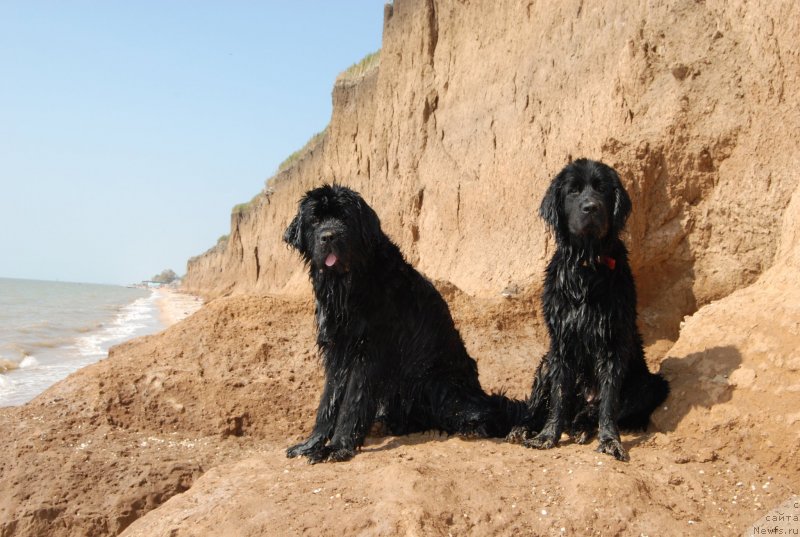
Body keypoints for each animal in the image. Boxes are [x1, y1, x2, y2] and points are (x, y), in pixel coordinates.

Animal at [284, 183, 520, 460]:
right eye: (315, 220)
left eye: (344, 217)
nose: (329, 236)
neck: (349, 284)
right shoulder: (337, 349)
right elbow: (328, 401)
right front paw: (311, 444)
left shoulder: (369, 352)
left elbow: (352, 401)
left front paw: (338, 446)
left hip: (440, 383)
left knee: (488, 412)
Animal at [510, 159, 672, 460]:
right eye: (573, 191)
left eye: (602, 190)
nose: (590, 207)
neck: (586, 269)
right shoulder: (561, 343)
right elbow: (558, 398)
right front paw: (547, 436)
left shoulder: (612, 342)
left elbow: (608, 402)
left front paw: (610, 441)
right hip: (546, 362)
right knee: (541, 406)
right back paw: (525, 428)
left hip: (651, 384)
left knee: (595, 408)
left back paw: (582, 426)